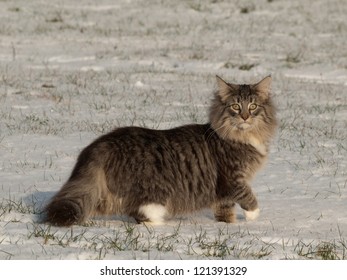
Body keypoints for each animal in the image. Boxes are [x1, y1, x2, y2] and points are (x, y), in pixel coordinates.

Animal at [44, 75, 278, 226]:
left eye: (253, 107)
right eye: (236, 107)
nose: (245, 117)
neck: (243, 136)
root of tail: (102, 143)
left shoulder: (222, 191)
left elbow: (225, 210)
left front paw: (228, 225)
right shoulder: (232, 178)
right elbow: (248, 196)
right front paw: (253, 216)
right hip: (152, 190)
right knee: (140, 214)